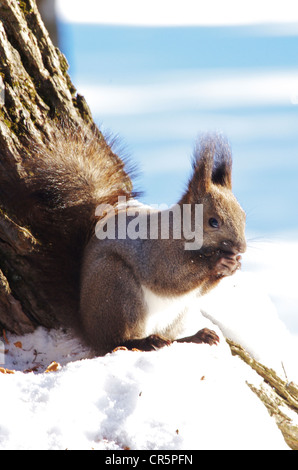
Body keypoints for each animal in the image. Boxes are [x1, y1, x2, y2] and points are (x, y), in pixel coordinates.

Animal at [19, 125, 247, 356]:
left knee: (171, 338)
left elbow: (200, 288)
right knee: (115, 342)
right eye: (213, 221)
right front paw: (218, 262)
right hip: (118, 289)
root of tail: (88, 328)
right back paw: (144, 342)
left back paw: (196, 337)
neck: (181, 229)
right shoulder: (155, 251)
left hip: (180, 313)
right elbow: (169, 277)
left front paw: (233, 265)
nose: (242, 248)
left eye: (244, 215)